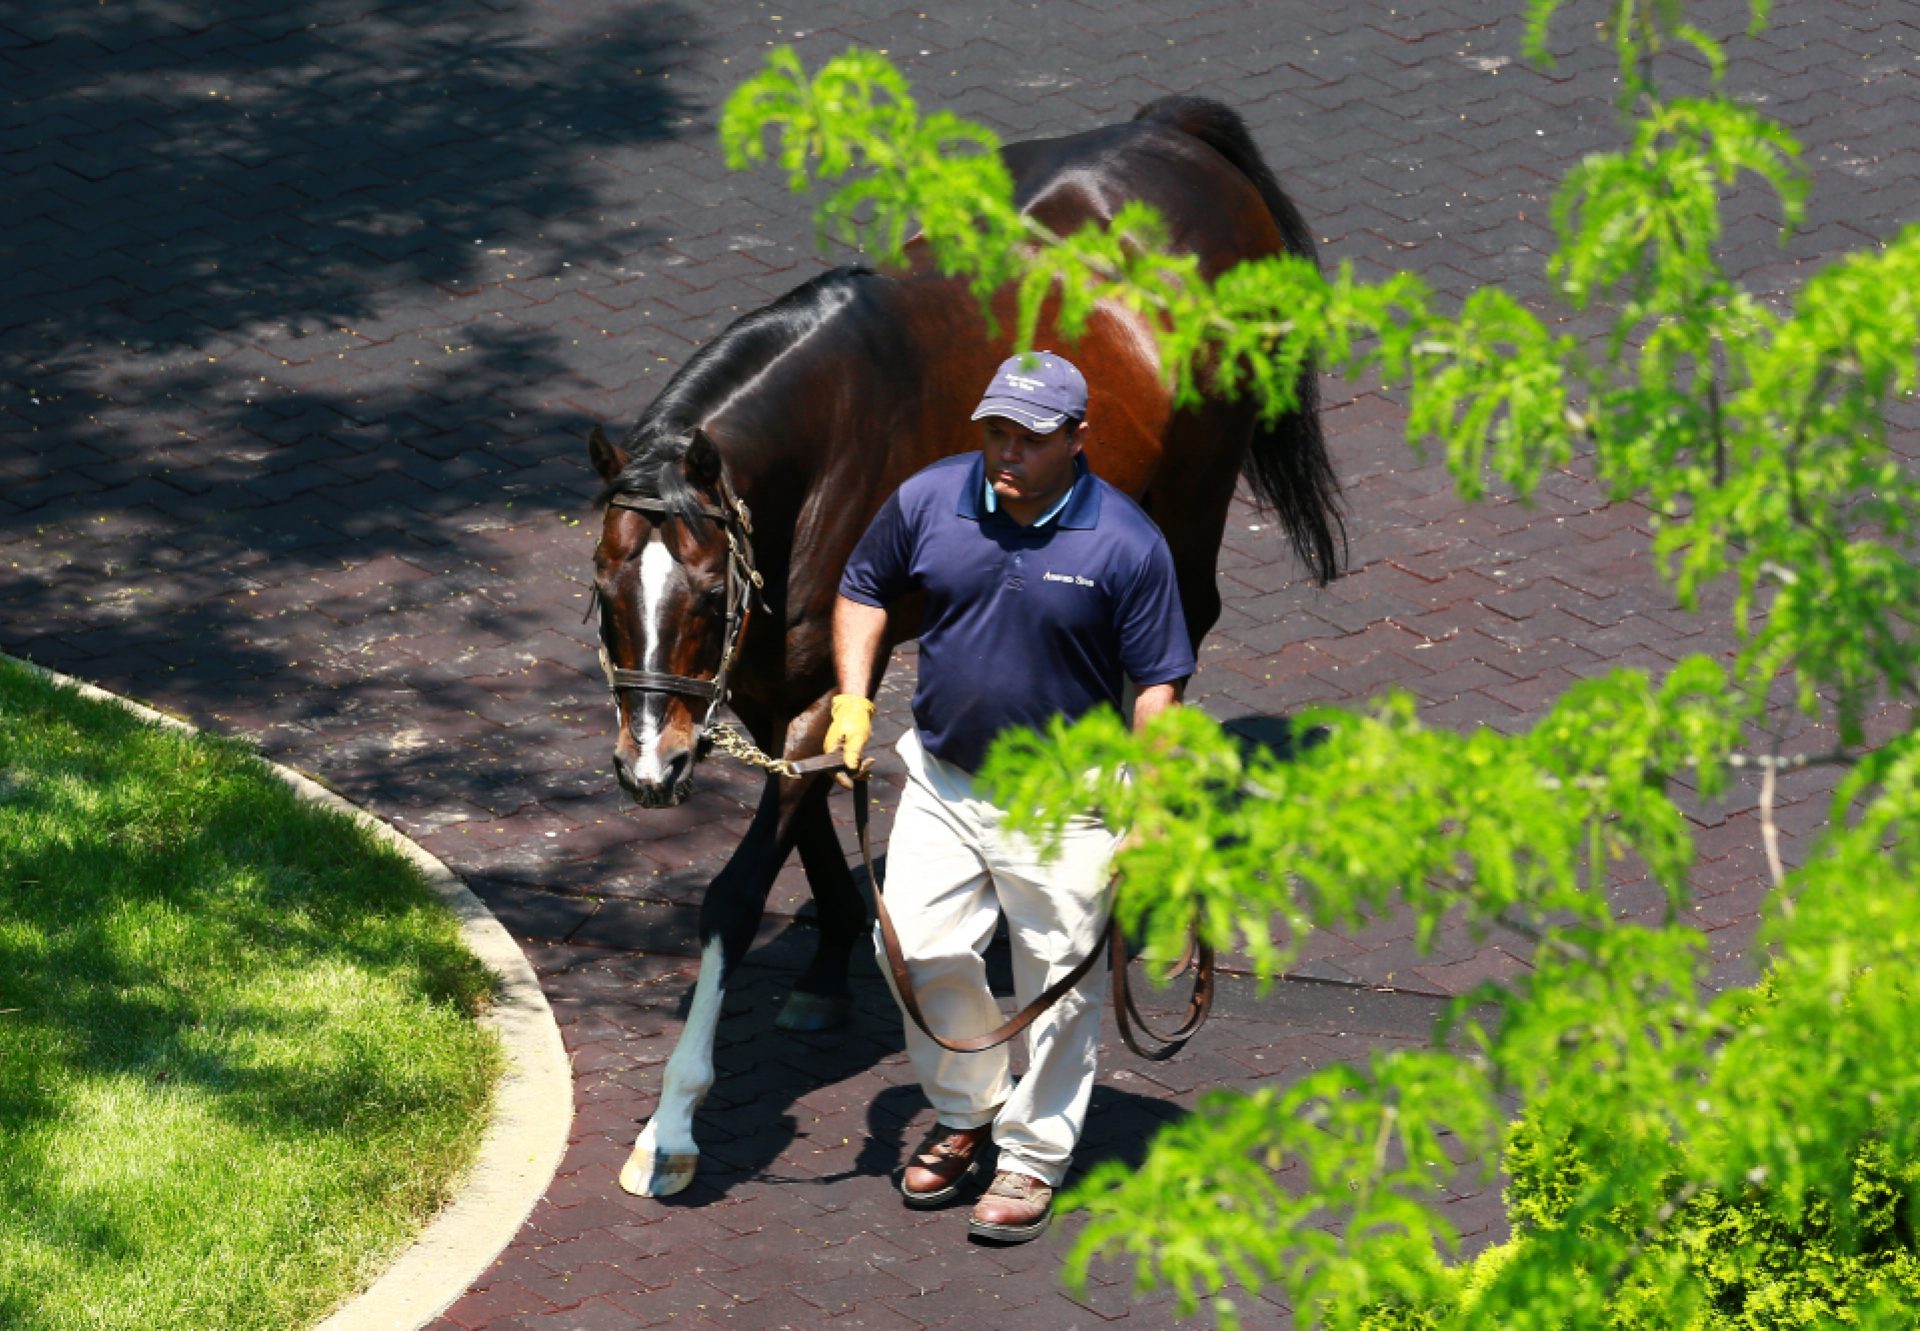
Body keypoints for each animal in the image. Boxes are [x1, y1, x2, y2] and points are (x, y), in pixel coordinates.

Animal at [583, 93, 1336, 1190]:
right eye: (603, 588)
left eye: (709, 590)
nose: (651, 766)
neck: (818, 442)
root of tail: (1175, 137)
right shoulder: (774, 684)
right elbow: (813, 817)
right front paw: (830, 963)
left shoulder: (816, 678)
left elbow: (734, 892)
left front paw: (672, 1124)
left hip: (1196, 491)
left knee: (1180, 630)